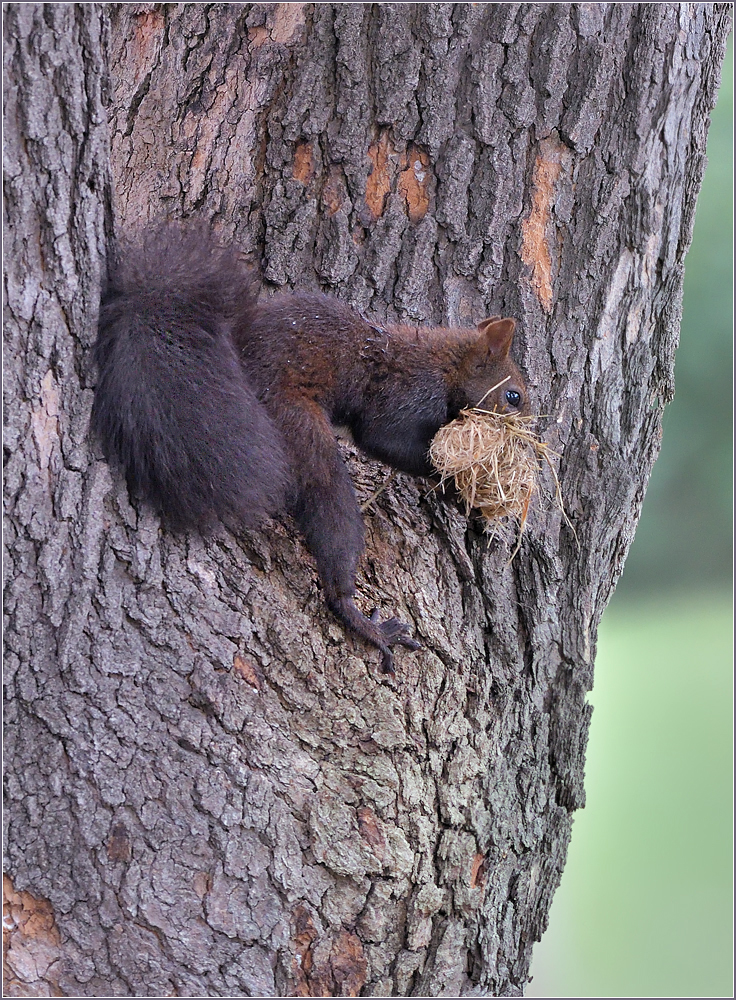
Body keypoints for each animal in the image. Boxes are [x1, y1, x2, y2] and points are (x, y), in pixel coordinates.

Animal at [92, 226, 528, 676]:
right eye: (513, 396)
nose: (527, 430)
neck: (445, 363)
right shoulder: (405, 396)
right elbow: (385, 440)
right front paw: (460, 484)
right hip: (294, 421)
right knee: (330, 504)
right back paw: (359, 617)